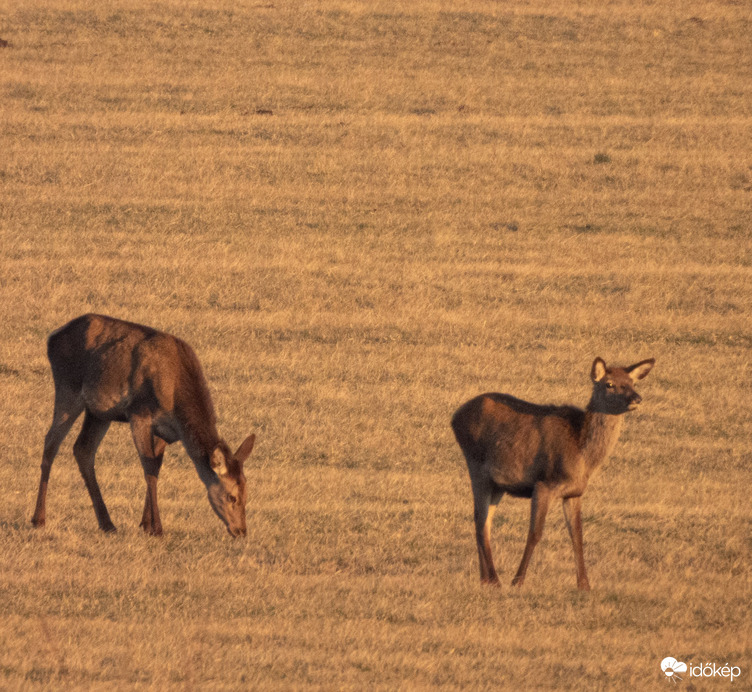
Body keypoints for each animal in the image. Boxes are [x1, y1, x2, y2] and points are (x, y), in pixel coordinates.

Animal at [31, 314, 256, 536]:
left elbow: (156, 467)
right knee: (51, 443)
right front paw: (157, 528)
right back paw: (39, 519)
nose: (241, 530)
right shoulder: (139, 414)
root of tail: (52, 337)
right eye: (232, 497)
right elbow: (149, 469)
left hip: (99, 411)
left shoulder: (166, 431)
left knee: (83, 449)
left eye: (247, 494)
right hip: (68, 388)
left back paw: (107, 523)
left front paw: (146, 524)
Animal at [450, 356, 656, 588]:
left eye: (632, 383)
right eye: (609, 384)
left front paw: (584, 585)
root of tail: (455, 417)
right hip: (477, 467)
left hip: (498, 484)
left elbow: (577, 535)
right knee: (479, 521)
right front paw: (518, 581)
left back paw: (485, 579)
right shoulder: (544, 483)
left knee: (485, 522)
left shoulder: (574, 493)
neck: (583, 458)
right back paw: (494, 579)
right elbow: (535, 533)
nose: (637, 398)